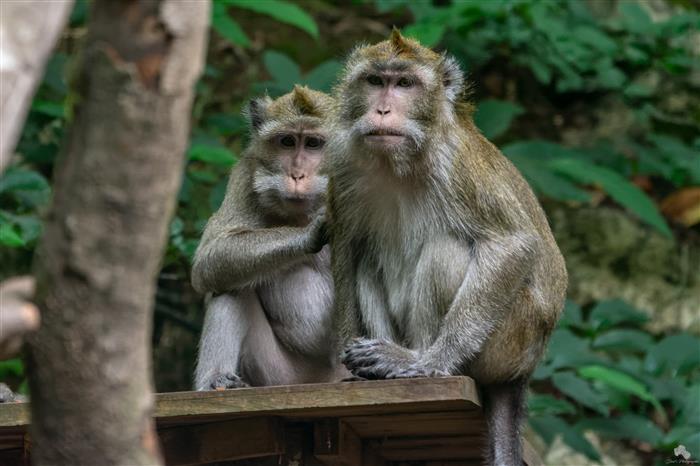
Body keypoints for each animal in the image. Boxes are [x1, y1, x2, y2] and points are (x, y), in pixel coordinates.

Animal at [191, 86, 348, 390]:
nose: (297, 175)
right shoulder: (245, 173)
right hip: (280, 375)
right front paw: (310, 233)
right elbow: (210, 257)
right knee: (227, 282)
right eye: (287, 141)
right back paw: (215, 380)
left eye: (313, 144)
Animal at [326, 30, 567, 465]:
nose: (383, 109)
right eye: (375, 81)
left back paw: (415, 360)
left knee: (445, 251)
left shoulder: (457, 166)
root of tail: (525, 368)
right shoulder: (343, 165)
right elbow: (346, 248)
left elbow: (513, 243)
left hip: (511, 338)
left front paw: (434, 361)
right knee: (367, 260)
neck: (400, 161)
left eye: (405, 84)